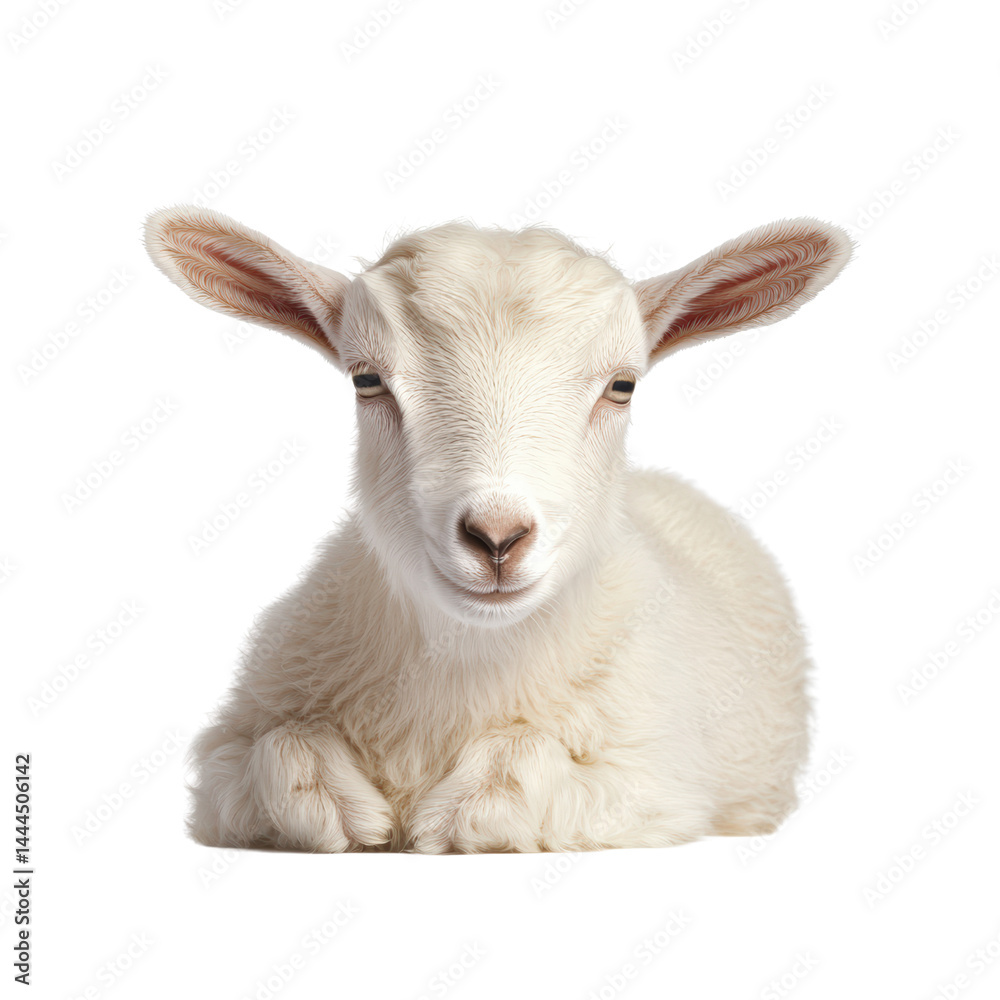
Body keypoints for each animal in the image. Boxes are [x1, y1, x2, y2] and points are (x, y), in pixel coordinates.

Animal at [144, 207, 850, 852]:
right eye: (366, 378)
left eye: (622, 386)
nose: (497, 538)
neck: (470, 664)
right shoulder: (224, 768)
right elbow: (280, 748)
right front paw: (345, 808)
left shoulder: (655, 783)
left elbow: (521, 768)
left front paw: (448, 816)